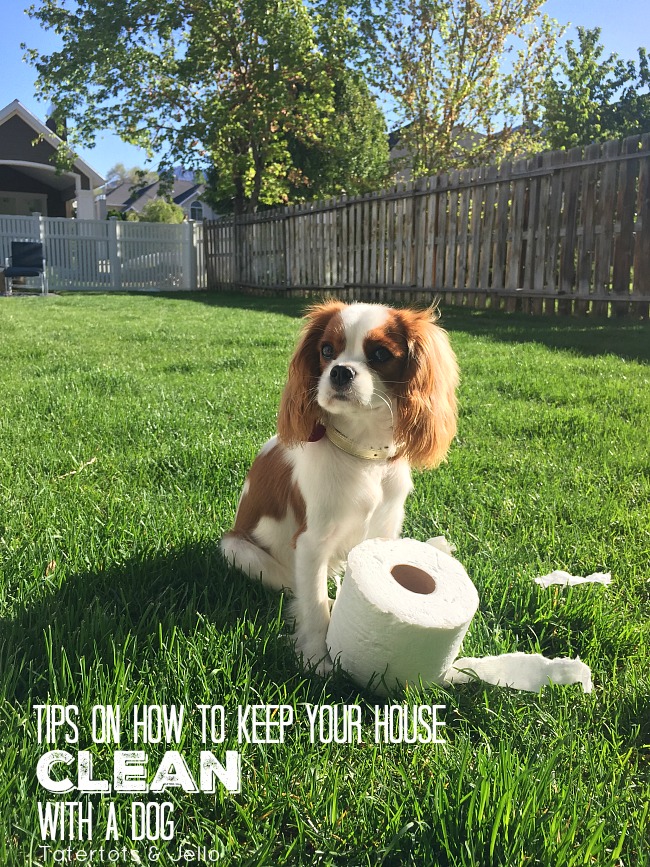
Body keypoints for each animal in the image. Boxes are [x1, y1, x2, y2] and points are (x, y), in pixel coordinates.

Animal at [220, 302, 458, 676]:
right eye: (326, 351)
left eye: (380, 354)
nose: (340, 372)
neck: (364, 454)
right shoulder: (311, 542)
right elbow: (315, 605)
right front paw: (317, 658)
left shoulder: (383, 533)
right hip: (236, 548)